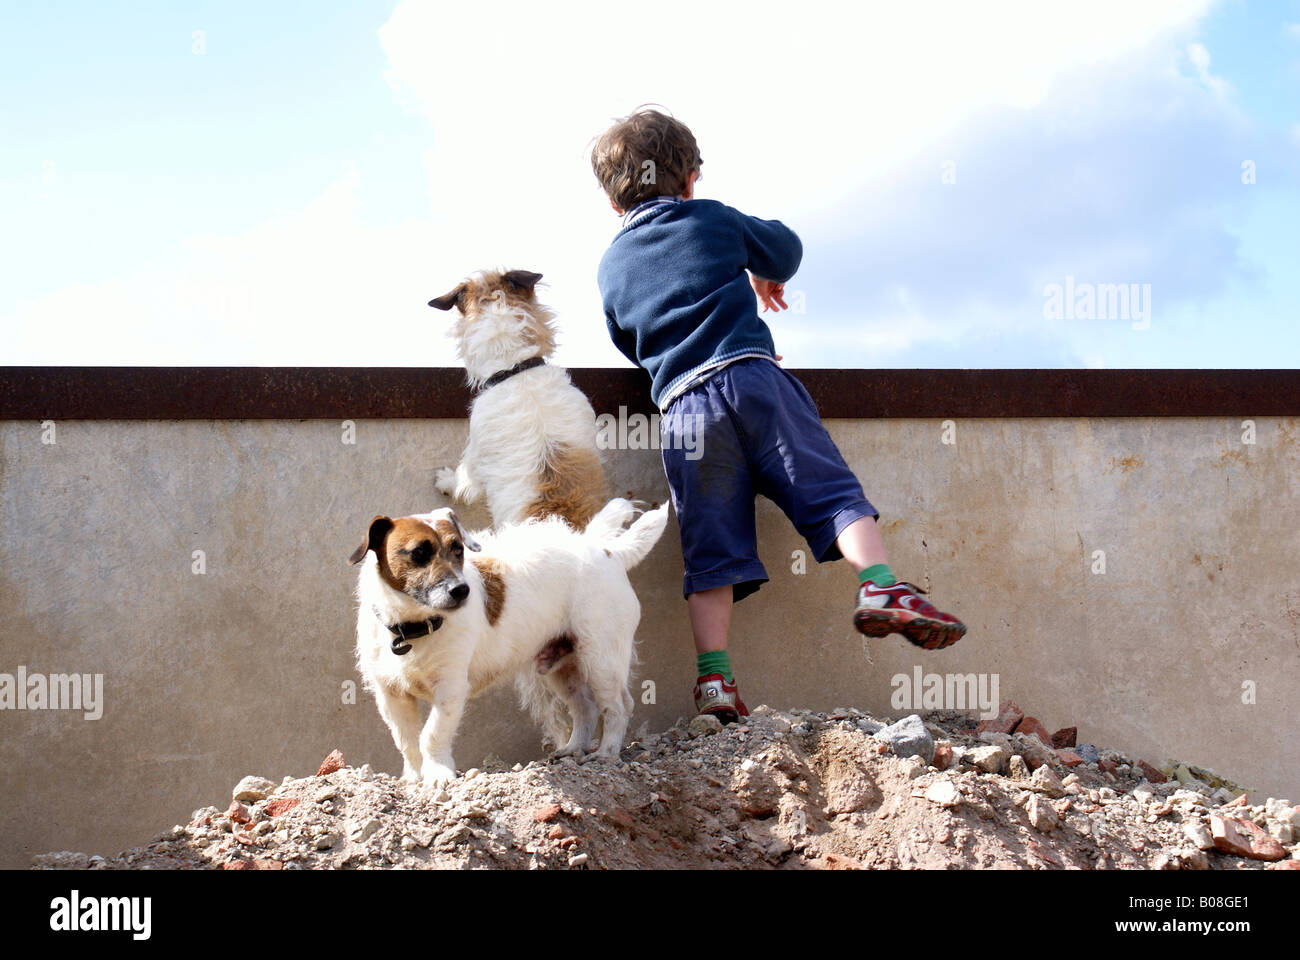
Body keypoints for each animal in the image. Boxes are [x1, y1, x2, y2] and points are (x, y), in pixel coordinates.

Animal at [351, 494, 665, 785]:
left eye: (458, 549)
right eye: (418, 552)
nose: (461, 590)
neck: (413, 626)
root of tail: (608, 551)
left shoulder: (450, 688)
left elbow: (432, 733)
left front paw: (438, 773)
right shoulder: (391, 695)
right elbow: (407, 741)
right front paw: (415, 777)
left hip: (602, 660)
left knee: (618, 707)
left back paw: (607, 753)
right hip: (563, 668)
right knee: (584, 707)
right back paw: (573, 749)